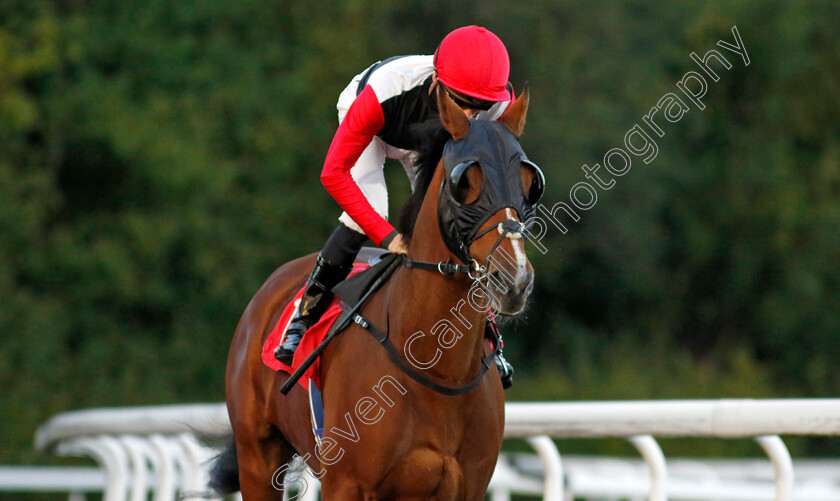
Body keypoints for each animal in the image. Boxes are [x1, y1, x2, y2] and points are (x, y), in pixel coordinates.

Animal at [210, 86, 544, 500]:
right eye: (463, 182)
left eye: (529, 182)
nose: (514, 280)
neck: (434, 367)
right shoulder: (346, 484)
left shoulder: (467, 486)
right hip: (257, 456)